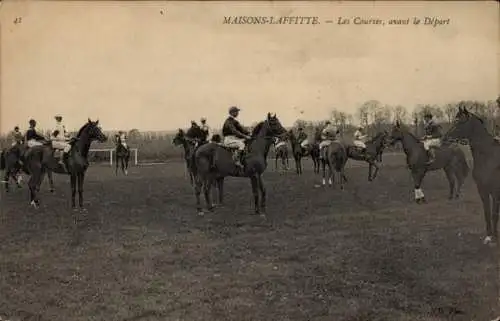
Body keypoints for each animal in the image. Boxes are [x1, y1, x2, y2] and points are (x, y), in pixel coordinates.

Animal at [446, 104, 500, 244]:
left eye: (458, 121)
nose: (446, 138)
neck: (488, 156)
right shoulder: (482, 190)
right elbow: (487, 213)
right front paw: (488, 236)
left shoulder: (495, 192)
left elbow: (494, 214)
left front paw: (495, 237)